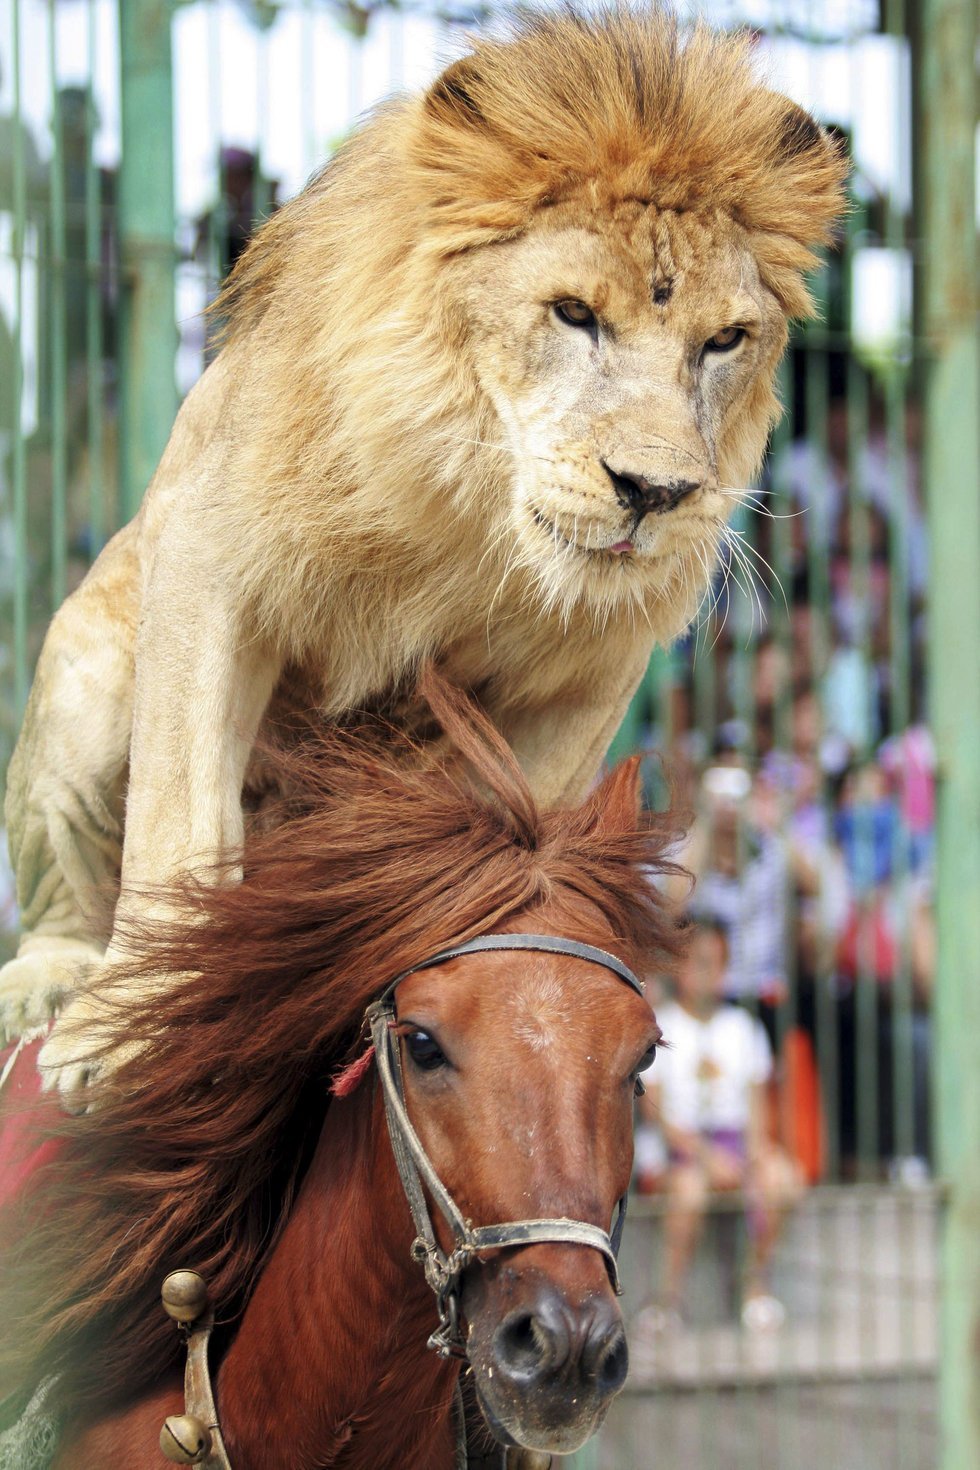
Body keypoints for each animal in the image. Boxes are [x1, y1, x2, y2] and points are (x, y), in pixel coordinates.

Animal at [0, 11, 846, 1093]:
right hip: (86, 680)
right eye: (573, 313)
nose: (655, 493)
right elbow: (179, 814)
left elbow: (510, 835)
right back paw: (50, 985)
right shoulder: (208, 551)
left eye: (725, 339)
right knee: (64, 896)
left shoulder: (595, 673)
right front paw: (131, 1029)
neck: (476, 519)